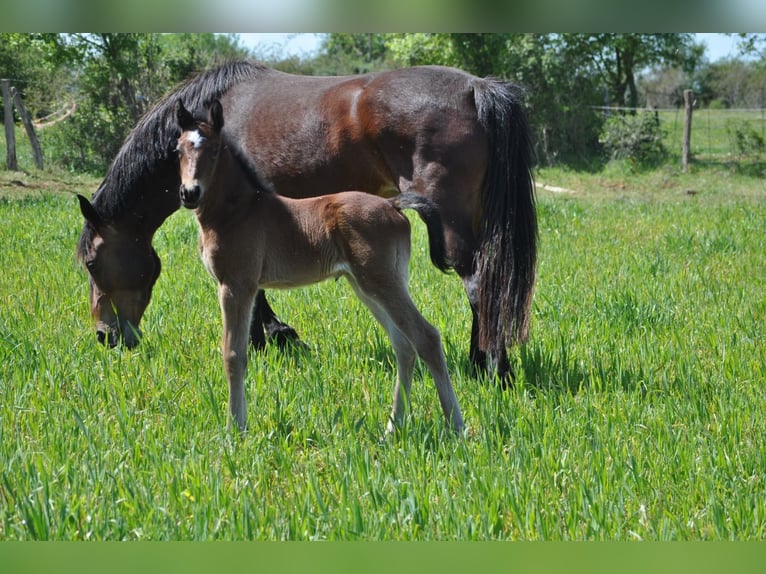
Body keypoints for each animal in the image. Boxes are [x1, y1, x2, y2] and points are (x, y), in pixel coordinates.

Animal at [76, 61, 537, 385]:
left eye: (92, 263)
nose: (104, 336)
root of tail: (476, 88)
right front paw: (275, 335)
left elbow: (254, 288)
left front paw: (266, 337)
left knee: (477, 282)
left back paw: (491, 368)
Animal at [174, 98, 464, 433]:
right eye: (178, 150)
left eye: (214, 150)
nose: (189, 193)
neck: (238, 211)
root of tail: (393, 205)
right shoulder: (246, 287)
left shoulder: (236, 285)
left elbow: (234, 354)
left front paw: (236, 428)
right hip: (367, 285)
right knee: (404, 345)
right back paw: (393, 427)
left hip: (382, 282)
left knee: (426, 338)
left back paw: (456, 425)